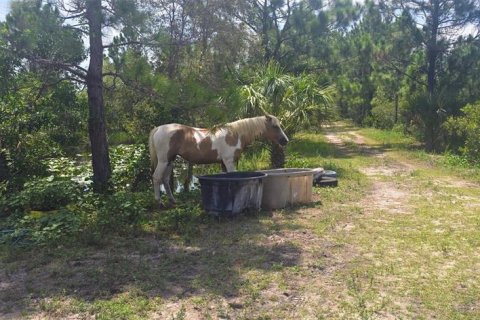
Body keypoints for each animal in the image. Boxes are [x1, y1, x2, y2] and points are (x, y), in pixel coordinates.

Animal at [148, 114, 286, 206]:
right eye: (275, 126)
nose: (285, 140)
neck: (235, 134)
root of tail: (158, 128)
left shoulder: (224, 163)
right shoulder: (229, 161)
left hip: (170, 160)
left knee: (165, 180)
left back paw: (173, 200)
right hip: (163, 161)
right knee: (156, 177)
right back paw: (159, 202)